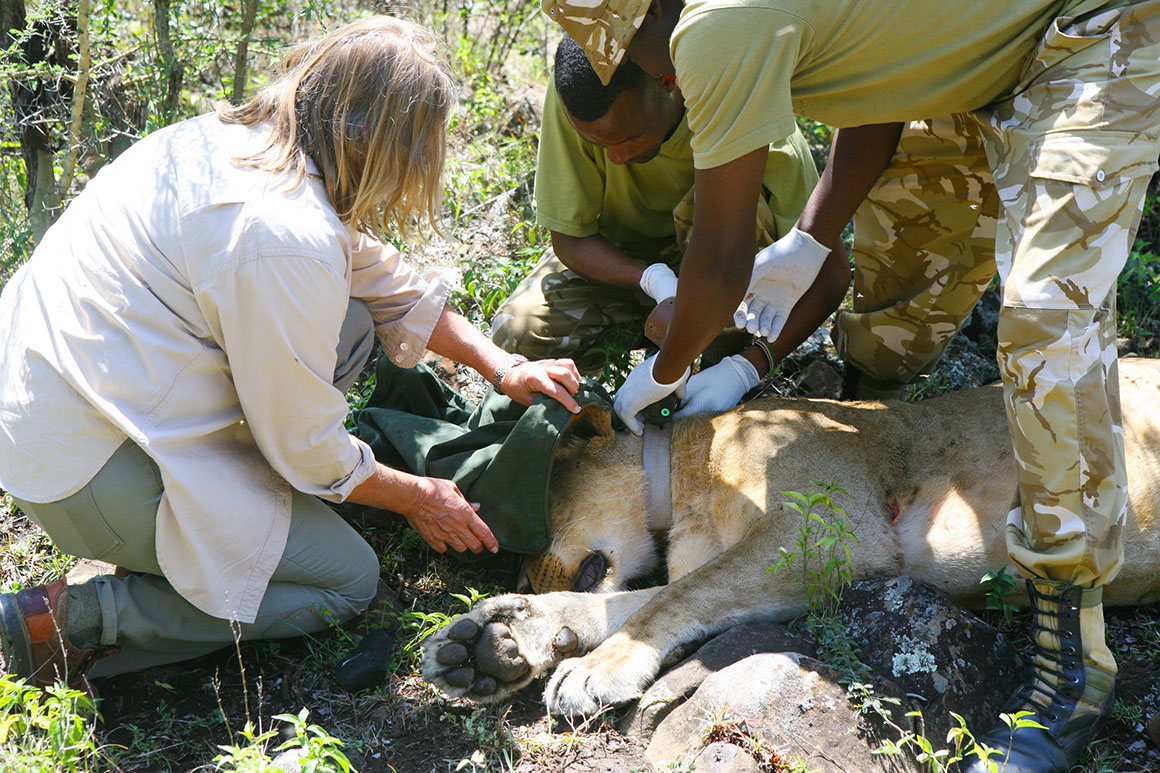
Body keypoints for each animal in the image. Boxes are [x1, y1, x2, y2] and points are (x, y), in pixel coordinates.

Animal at [424, 357, 1160, 714]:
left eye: (534, 526)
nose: (519, 577)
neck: (685, 484)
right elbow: (639, 601)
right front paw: (494, 642)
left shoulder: (832, 531)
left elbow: (669, 600)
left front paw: (592, 668)